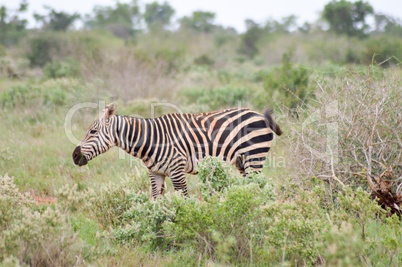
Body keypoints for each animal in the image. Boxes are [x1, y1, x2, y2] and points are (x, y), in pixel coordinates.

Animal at [74, 104, 282, 199]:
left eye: (92, 132)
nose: (74, 156)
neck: (151, 140)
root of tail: (259, 114)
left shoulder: (177, 170)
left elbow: (184, 200)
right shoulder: (156, 173)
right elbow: (155, 200)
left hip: (254, 157)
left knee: (258, 186)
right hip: (242, 162)